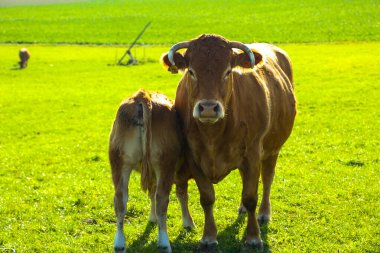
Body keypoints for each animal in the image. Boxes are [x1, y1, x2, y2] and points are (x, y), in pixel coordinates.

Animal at [108, 89, 194, 253]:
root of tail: (143, 95)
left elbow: (151, 194)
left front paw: (152, 218)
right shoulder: (181, 173)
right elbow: (182, 195)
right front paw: (188, 223)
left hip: (119, 162)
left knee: (120, 200)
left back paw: (119, 244)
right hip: (165, 165)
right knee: (162, 200)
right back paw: (164, 243)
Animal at [160, 35, 296, 251]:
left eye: (227, 71)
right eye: (191, 71)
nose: (208, 108)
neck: (213, 135)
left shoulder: (253, 154)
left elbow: (251, 197)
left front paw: (253, 238)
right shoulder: (193, 157)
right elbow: (207, 198)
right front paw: (208, 237)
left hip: (272, 149)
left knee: (267, 179)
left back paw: (264, 213)